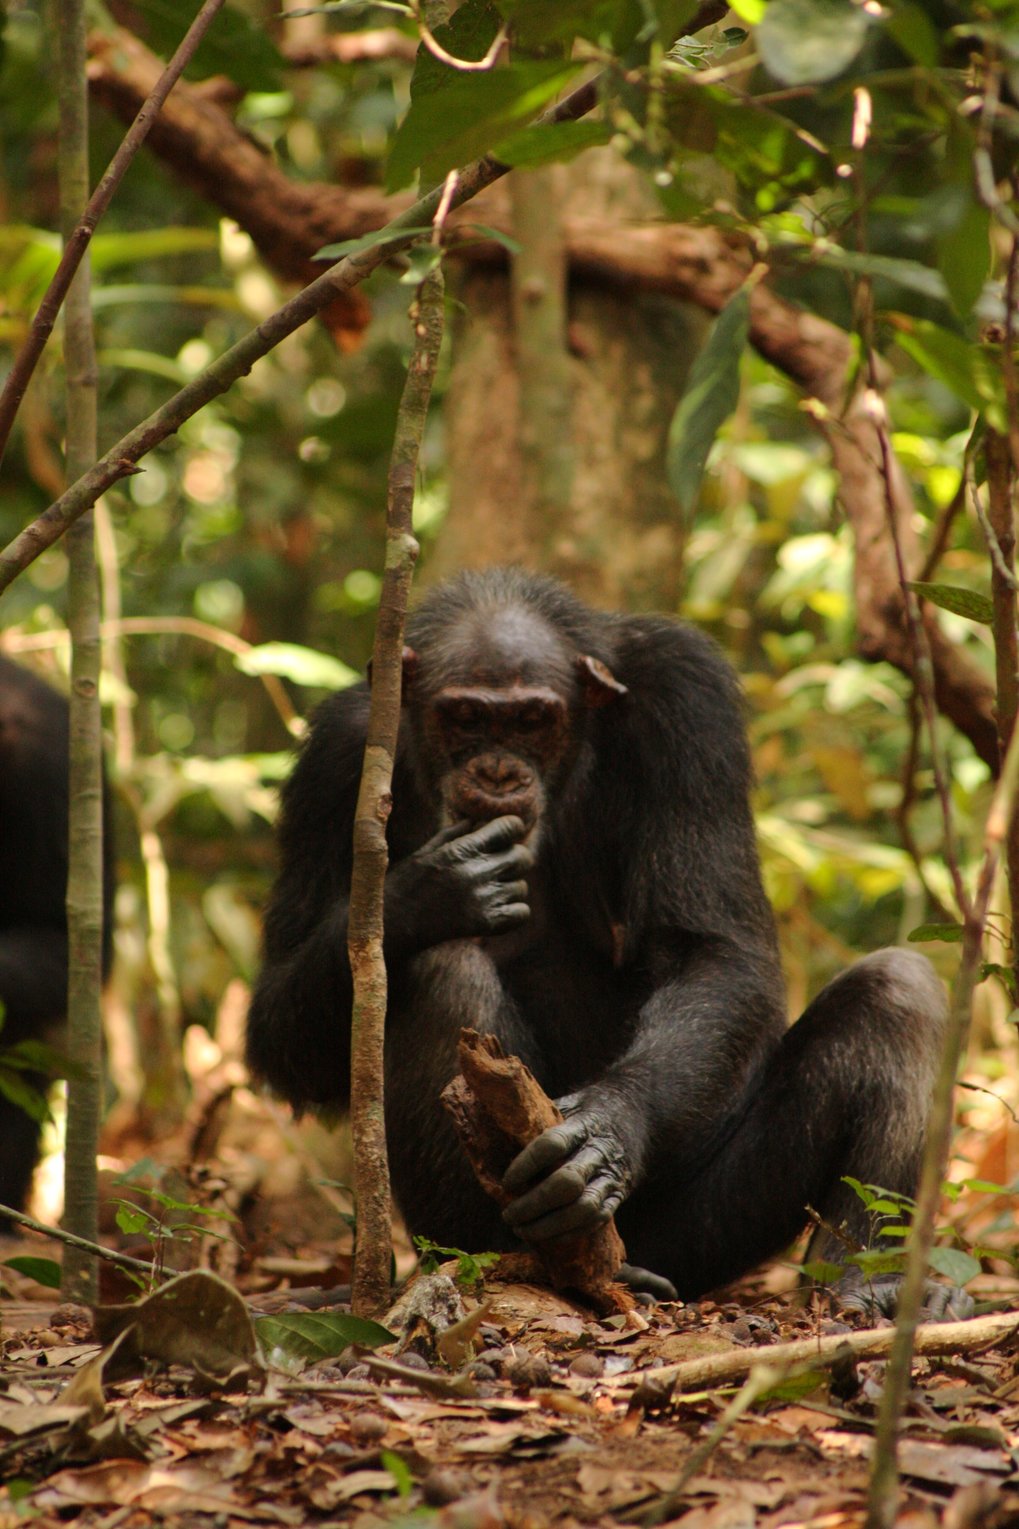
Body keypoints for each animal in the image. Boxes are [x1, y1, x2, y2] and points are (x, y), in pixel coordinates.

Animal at [246, 568, 954, 1308]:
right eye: (465, 716)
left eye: (532, 720)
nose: (497, 771)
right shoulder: (335, 760)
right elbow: (280, 1025)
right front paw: (424, 892)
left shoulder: (688, 702)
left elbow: (712, 949)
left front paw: (606, 1130)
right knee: (443, 967)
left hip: (697, 1234)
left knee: (897, 992)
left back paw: (866, 1285)